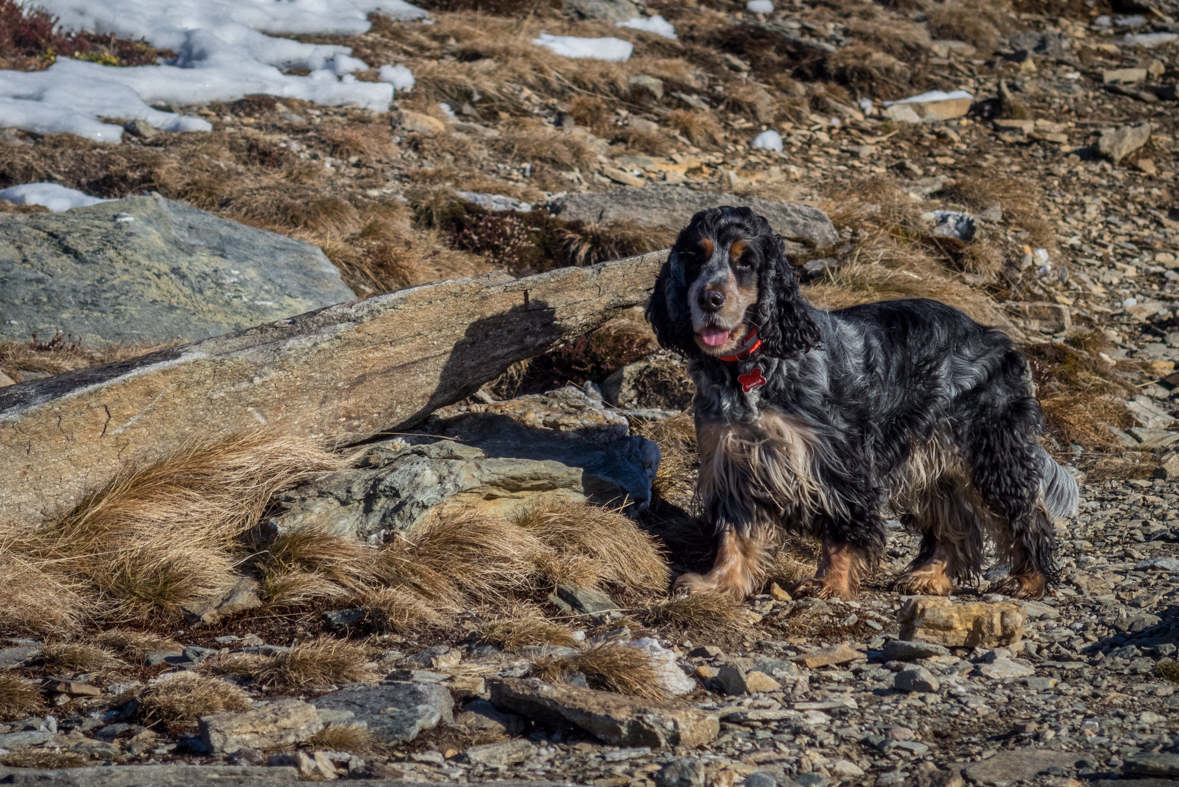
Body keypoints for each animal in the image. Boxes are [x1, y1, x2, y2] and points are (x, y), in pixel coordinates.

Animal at [646, 206, 1079, 598]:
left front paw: (830, 585)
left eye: (746, 262)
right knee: (956, 524)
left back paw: (1030, 580)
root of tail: (999, 341)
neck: (751, 369)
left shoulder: (839, 465)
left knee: (1026, 515)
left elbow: (844, 531)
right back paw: (929, 576)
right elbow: (735, 536)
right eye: (694, 258)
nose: (709, 298)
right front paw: (718, 584)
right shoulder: (733, 463)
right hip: (930, 462)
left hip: (991, 453)